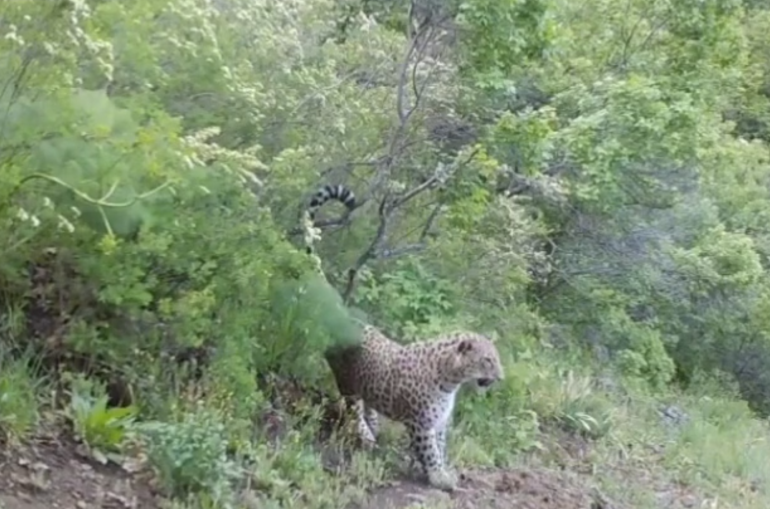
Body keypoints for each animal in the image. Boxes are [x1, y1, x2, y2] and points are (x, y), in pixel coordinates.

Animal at [324, 324, 504, 490]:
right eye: (487, 360)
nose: (502, 377)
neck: (451, 382)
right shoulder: (420, 423)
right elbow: (430, 450)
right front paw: (439, 477)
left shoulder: (440, 421)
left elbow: (440, 447)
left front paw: (442, 470)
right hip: (347, 385)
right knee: (354, 413)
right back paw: (367, 437)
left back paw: (374, 429)